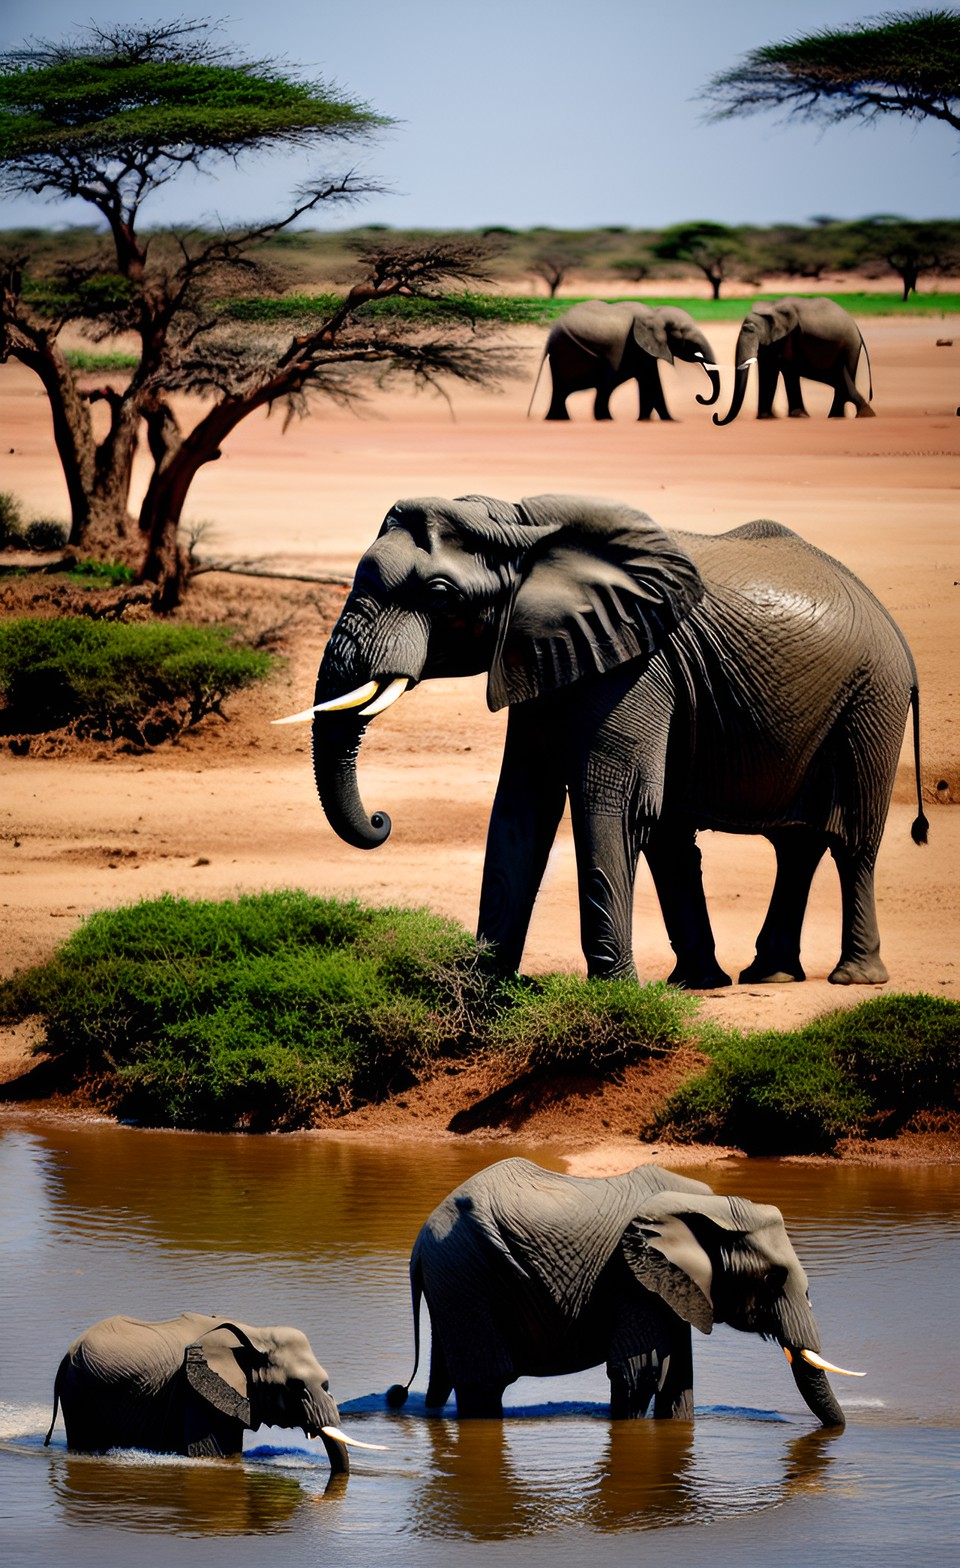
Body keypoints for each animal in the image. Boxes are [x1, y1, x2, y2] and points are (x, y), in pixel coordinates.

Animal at [44, 1310, 382, 1467]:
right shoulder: (193, 1390)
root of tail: (65, 1356)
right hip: (80, 1392)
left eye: (326, 1383)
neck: (254, 1334)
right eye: (297, 1387)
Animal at [280, 489, 928, 984]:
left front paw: (614, 993)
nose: (382, 821)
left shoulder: (636, 664)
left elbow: (613, 804)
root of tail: (894, 627)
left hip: (872, 701)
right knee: (777, 843)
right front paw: (482, 991)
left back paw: (851, 979)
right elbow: (521, 806)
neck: (517, 524)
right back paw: (736, 979)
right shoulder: (544, 652)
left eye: (440, 595)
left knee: (852, 841)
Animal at [385, 1160, 865, 1430]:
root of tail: (418, 1245)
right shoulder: (630, 1277)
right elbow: (642, 1372)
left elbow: (678, 1377)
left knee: (444, 1378)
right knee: (485, 1382)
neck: (713, 1207)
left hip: (456, 1280)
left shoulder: (670, 1284)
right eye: (773, 1278)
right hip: (465, 1269)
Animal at [533, 299, 721, 420]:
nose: (700, 397)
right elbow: (652, 383)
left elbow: (648, 383)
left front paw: (645, 420)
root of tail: (550, 336)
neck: (655, 313)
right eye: (684, 335)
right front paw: (673, 421)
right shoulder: (637, 346)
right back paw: (604, 419)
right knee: (604, 385)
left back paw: (557, 420)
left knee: (563, 391)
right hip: (573, 352)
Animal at [712, 294, 878, 423]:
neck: (771, 308)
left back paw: (838, 417)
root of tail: (856, 327)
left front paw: (797, 416)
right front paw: (768, 418)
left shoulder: (790, 337)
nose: (716, 417)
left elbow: (785, 368)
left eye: (751, 330)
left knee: (843, 377)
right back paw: (836, 417)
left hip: (850, 347)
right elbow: (768, 368)